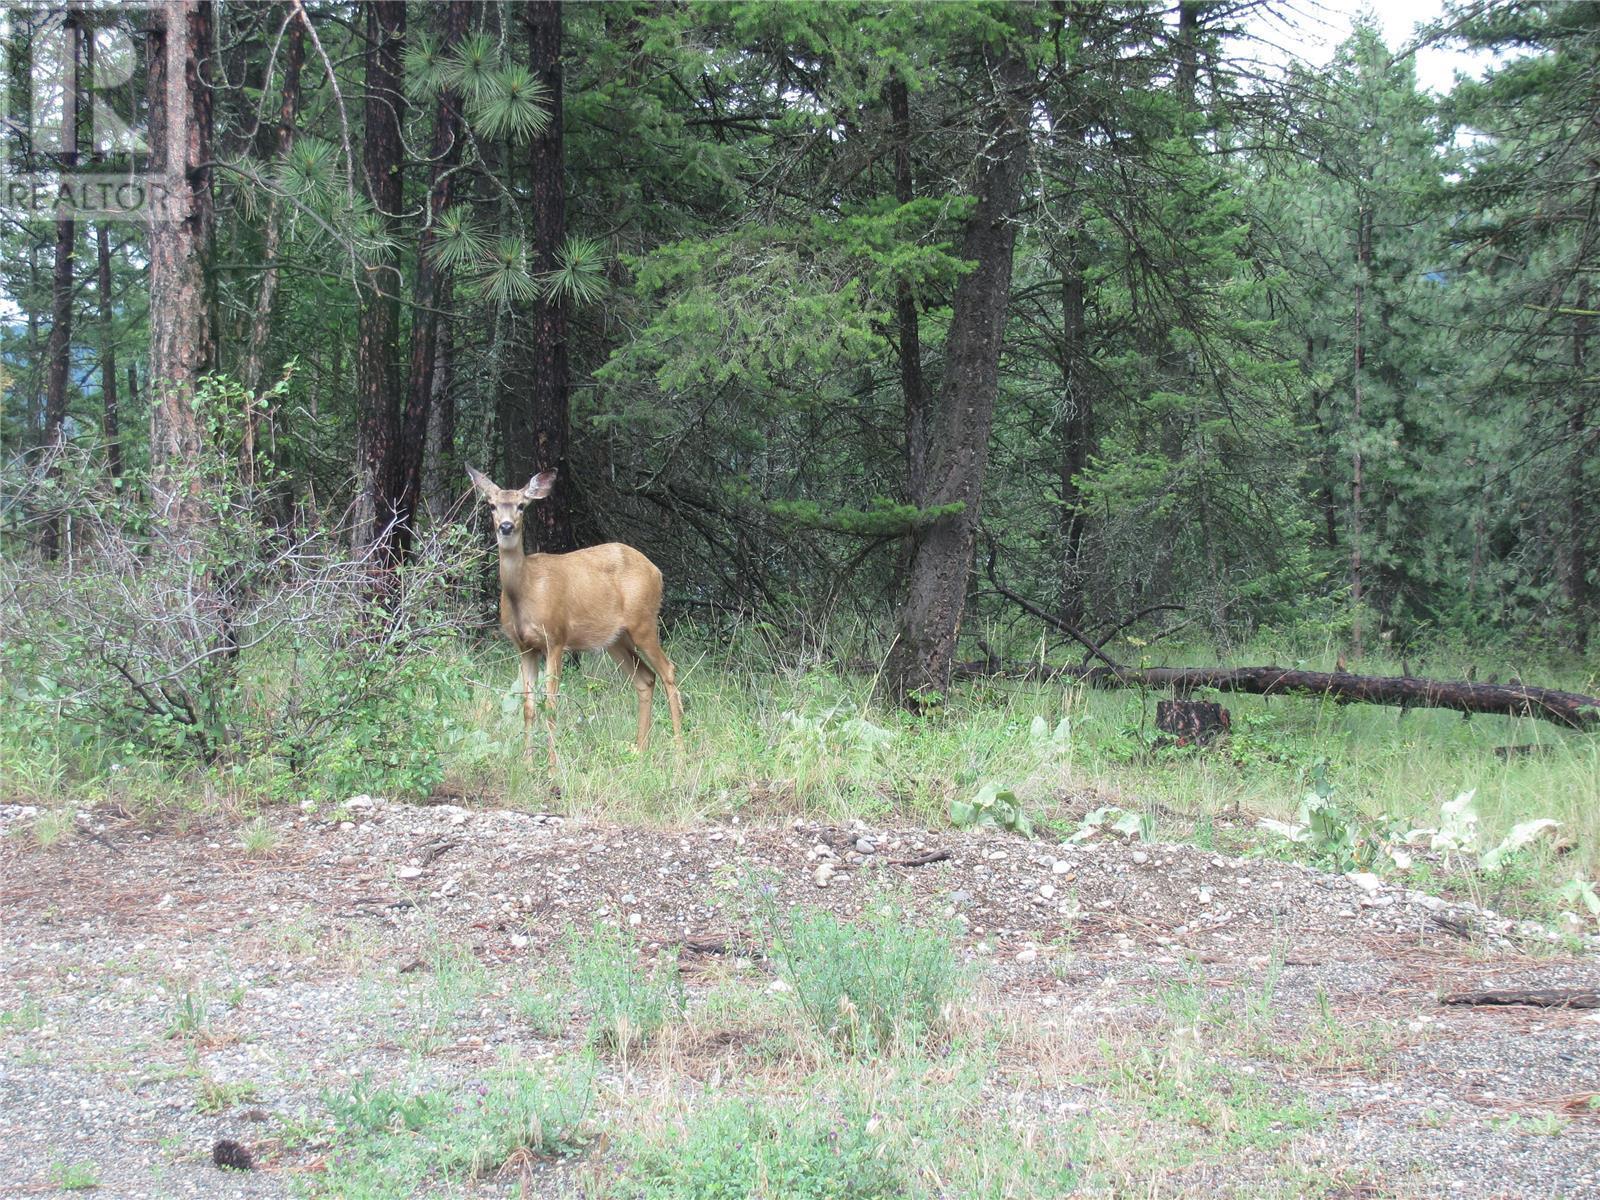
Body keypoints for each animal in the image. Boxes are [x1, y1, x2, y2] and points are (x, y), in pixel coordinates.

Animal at [467, 464, 684, 764]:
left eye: (522, 505)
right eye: (491, 505)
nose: (506, 526)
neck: (526, 590)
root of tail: (657, 572)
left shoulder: (556, 637)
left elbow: (551, 704)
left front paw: (552, 766)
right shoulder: (524, 647)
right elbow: (528, 706)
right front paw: (527, 763)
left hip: (644, 622)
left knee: (668, 670)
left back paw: (681, 750)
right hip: (615, 639)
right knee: (645, 678)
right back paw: (640, 749)